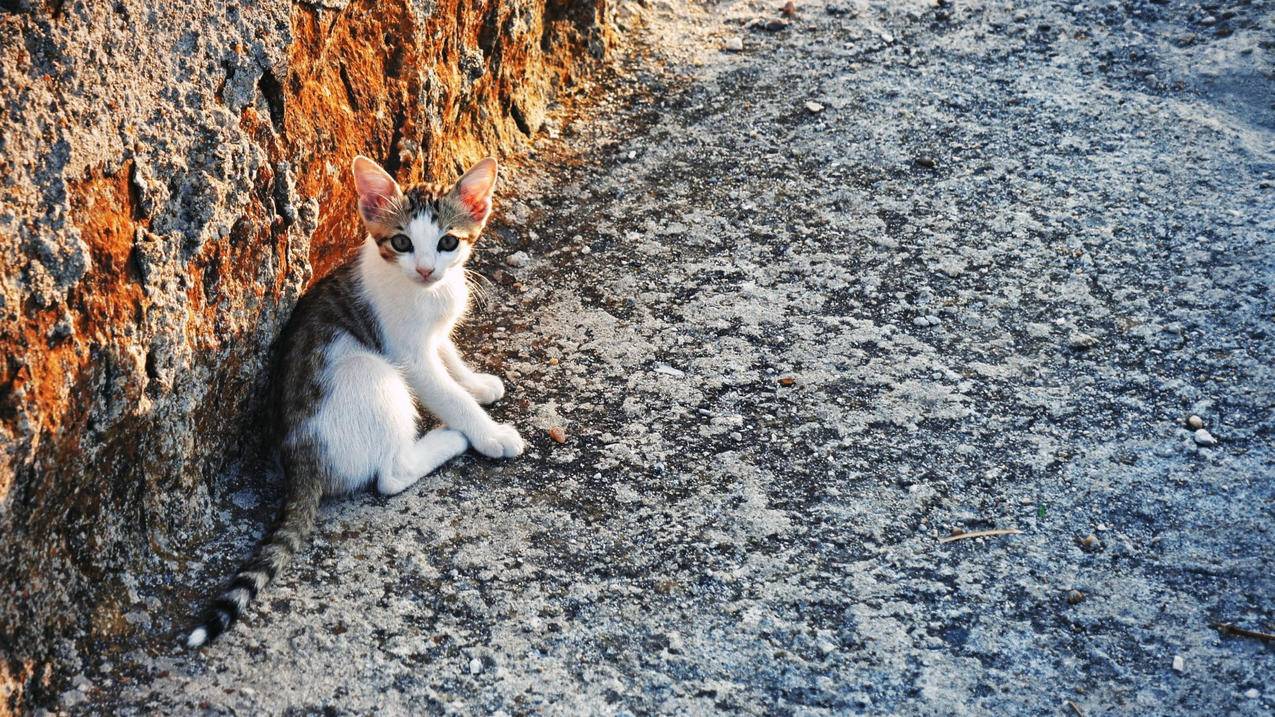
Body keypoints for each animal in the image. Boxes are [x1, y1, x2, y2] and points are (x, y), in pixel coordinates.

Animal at [186, 153, 522, 645]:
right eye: (401, 242)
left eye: (447, 242)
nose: (426, 270)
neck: (426, 293)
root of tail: (300, 463)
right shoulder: (408, 355)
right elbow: (446, 394)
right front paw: (488, 432)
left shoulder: (433, 336)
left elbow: (448, 356)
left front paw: (476, 383)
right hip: (373, 375)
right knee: (390, 476)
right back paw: (450, 439)